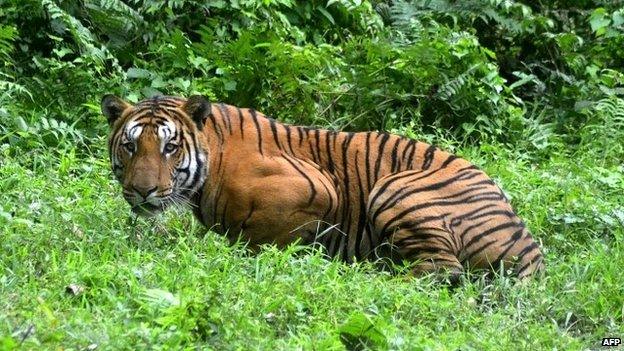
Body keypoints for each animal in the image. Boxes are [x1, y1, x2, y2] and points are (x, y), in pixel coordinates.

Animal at [101, 95, 540, 282]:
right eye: (130, 145)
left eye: (170, 147)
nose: (142, 191)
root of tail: (530, 247)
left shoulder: (318, 188)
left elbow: (261, 237)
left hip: (395, 188)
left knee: (441, 270)